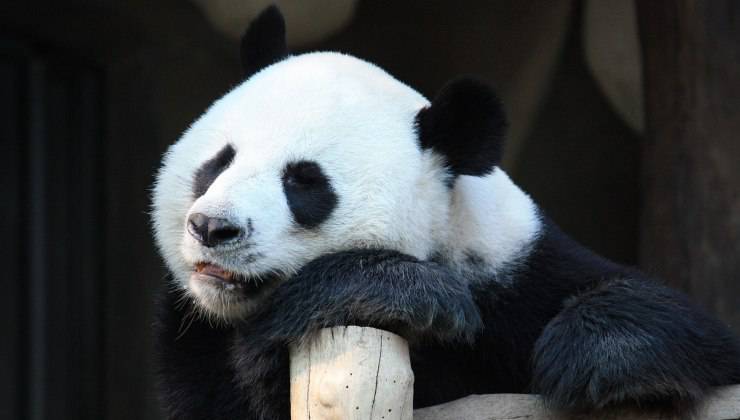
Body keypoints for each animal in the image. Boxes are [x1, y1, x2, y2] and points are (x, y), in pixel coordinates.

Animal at [152, 6, 740, 420]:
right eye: (218, 162)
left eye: (304, 182)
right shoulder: (191, 332)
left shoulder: (517, 270)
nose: (213, 228)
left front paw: (593, 355)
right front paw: (407, 293)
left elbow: (690, 333)